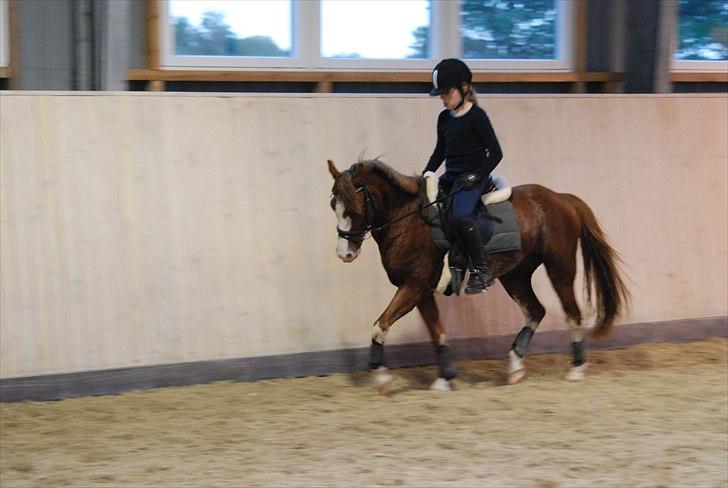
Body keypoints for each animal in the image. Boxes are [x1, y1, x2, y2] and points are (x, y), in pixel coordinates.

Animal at [327, 158, 629, 393]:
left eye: (353, 206)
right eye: (333, 205)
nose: (345, 253)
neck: (410, 219)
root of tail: (561, 198)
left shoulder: (413, 286)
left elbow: (381, 324)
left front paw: (381, 378)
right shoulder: (420, 291)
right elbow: (437, 332)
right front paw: (444, 379)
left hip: (560, 268)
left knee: (571, 312)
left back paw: (576, 369)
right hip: (515, 275)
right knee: (535, 311)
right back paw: (514, 366)